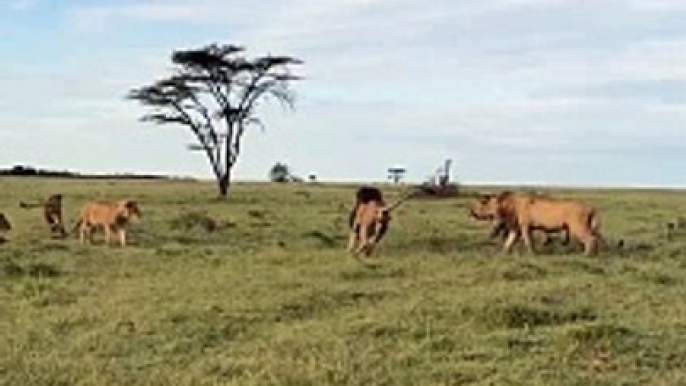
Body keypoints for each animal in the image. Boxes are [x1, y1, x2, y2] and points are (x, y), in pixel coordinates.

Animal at [472, 191, 600, 256]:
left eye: (483, 204)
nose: (473, 213)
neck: (510, 205)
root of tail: (591, 208)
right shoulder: (516, 229)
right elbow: (509, 242)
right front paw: (503, 253)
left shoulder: (525, 227)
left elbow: (528, 241)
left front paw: (532, 254)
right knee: (595, 238)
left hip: (577, 227)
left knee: (591, 239)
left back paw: (587, 255)